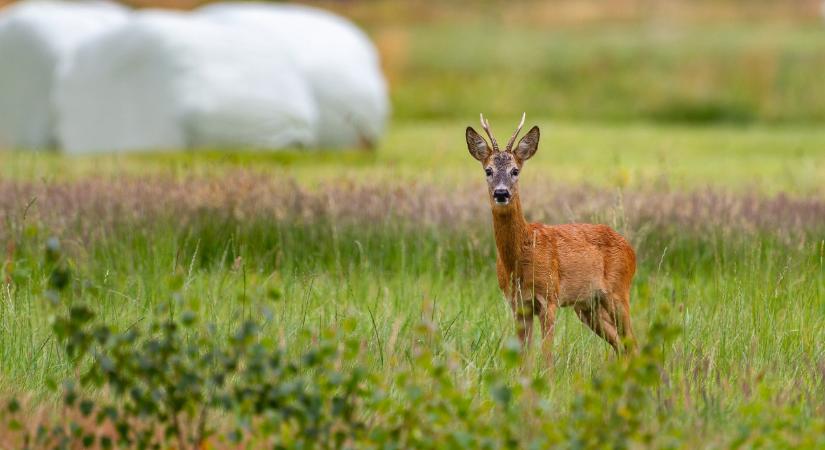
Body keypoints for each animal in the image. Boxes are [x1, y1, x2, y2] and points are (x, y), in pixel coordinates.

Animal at [464, 114, 636, 364]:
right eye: (488, 170)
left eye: (515, 171)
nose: (501, 193)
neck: (521, 256)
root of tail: (631, 249)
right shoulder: (518, 304)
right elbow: (523, 357)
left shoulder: (549, 297)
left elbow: (546, 355)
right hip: (587, 306)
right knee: (620, 344)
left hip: (618, 292)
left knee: (632, 341)